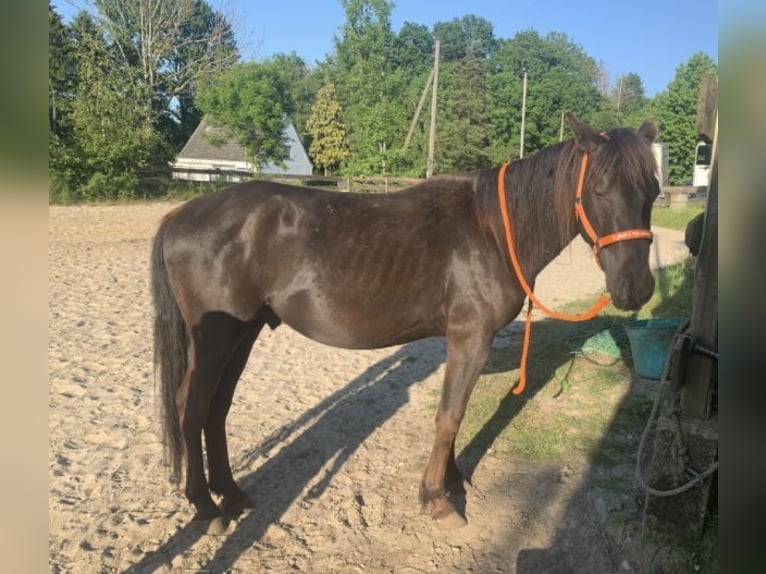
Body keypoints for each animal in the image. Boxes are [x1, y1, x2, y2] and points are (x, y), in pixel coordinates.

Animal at [153, 113, 664, 532]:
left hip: (242, 333)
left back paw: (231, 494)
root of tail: (181, 214)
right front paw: (437, 499)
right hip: (217, 338)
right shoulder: (471, 338)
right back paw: (206, 508)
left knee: (216, 409)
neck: (492, 232)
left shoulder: (464, 342)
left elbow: (455, 415)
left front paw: (452, 480)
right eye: (598, 189)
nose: (636, 287)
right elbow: (449, 416)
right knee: (191, 408)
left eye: (654, 192)